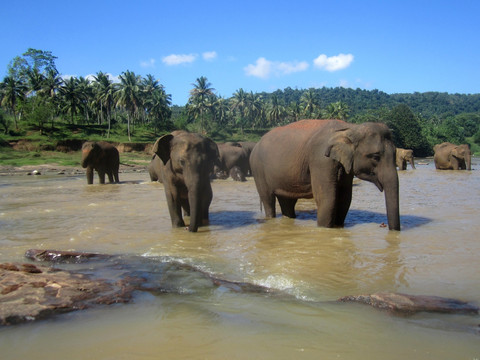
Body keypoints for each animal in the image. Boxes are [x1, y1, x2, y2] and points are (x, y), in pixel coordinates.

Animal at [251, 119, 402, 231]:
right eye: (376, 157)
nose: (387, 227)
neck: (349, 128)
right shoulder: (321, 160)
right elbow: (327, 198)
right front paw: (325, 229)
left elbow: (345, 198)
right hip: (258, 169)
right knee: (268, 199)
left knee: (287, 201)